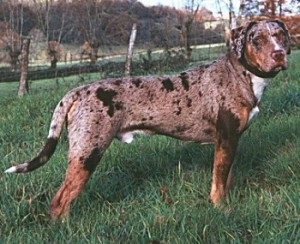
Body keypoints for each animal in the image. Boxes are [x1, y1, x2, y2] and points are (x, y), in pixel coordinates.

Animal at [5, 20, 290, 220]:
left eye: (279, 36)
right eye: (256, 39)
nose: (279, 54)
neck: (240, 73)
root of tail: (76, 91)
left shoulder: (229, 143)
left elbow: (225, 178)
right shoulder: (227, 139)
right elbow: (218, 183)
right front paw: (221, 209)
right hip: (87, 153)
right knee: (59, 202)